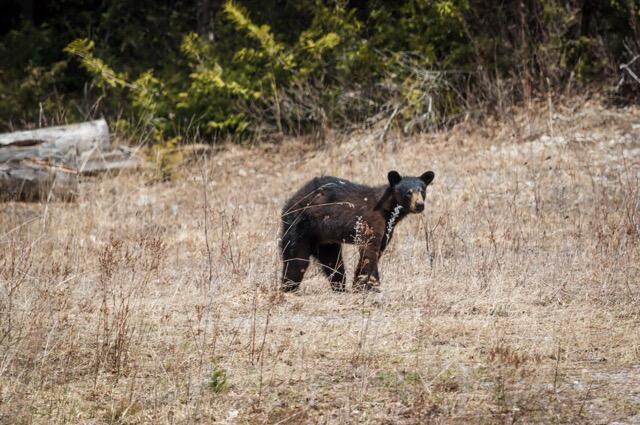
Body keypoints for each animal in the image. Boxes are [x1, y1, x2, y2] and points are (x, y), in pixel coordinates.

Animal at [280, 169, 436, 292]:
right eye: (408, 193)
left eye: (422, 190)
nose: (419, 205)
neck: (387, 208)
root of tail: (292, 200)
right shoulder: (372, 220)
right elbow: (370, 250)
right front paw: (371, 286)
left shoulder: (387, 227)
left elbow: (376, 250)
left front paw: (360, 285)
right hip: (301, 225)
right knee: (296, 259)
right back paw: (288, 287)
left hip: (325, 238)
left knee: (333, 262)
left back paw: (340, 287)